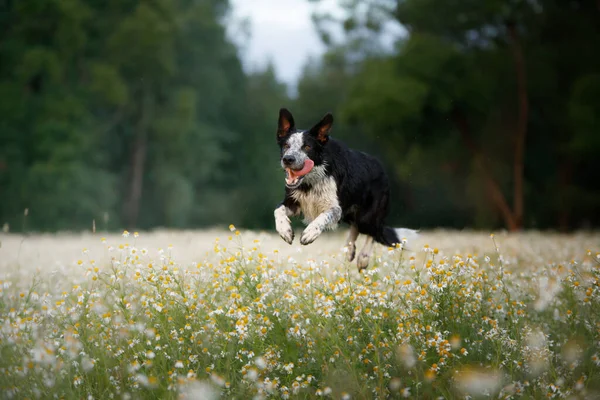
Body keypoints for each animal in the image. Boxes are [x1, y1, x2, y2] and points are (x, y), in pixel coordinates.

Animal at [274, 108, 418, 270]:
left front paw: (310, 233)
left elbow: (323, 216)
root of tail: (383, 171)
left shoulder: (336, 208)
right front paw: (285, 231)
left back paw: (363, 258)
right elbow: (278, 210)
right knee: (356, 228)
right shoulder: (294, 202)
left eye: (307, 147)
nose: (288, 159)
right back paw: (349, 250)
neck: (311, 181)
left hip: (366, 216)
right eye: (286, 145)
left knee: (374, 231)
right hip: (350, 212)